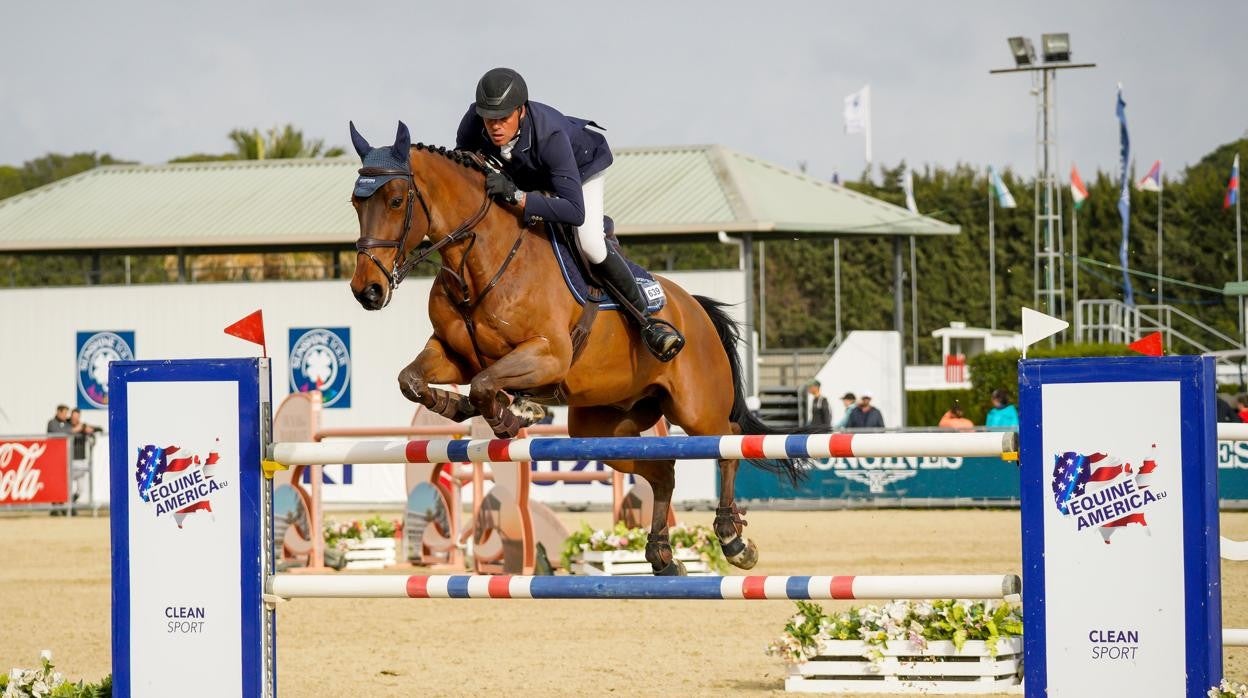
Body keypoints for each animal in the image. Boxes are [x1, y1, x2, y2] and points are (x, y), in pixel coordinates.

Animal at [346, 121, 808, 579]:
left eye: (396, 200)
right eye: (355, 202)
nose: (367, 291)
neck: (478, 261)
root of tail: (693, 305)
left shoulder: (548, 356)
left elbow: (483, 384)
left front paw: (511, 415)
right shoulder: (453, 355)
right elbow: (413, 380)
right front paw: (456, 407)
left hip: (696, 409)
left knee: (728, 443)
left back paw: (733, 539)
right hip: (602, 428)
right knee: (662, 470)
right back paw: (662, 555)